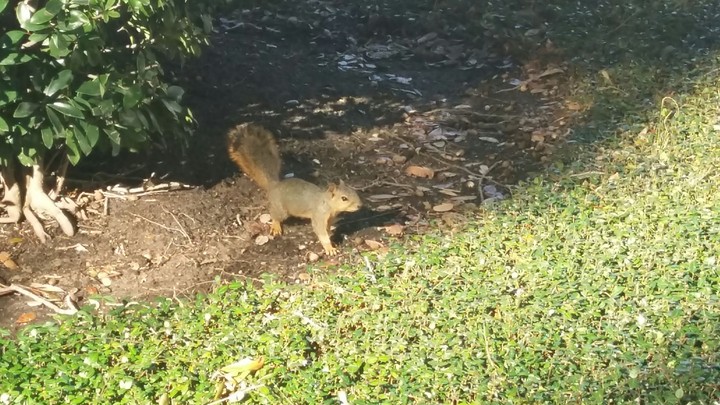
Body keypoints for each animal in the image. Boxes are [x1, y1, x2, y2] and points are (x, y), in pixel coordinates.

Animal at [227, 123, 362, 255]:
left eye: (354, 192)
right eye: (344, 198)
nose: (360, 206)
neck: (328, 204)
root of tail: (274, 185)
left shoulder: (329, 219)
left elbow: (327, 230)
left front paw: (332, 241)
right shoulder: (319, 215)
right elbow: (320, 231)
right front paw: (329, 248)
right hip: (281, 210)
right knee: (275, 215)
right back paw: (276, 226)